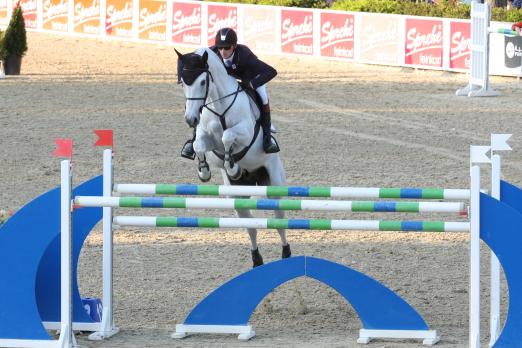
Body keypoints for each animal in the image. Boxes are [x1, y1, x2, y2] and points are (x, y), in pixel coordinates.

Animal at [174, 47, 288, 270]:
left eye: (203, 82)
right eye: (183, 82)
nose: (191, 119)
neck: (219, 106)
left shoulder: (244, 133)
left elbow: (228, 137)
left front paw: (233, 167)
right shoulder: (207, 141)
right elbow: (200, 145)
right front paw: (204, 170)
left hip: (274, 185)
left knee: (279, 221)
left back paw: (286, 253)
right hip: (237, 197)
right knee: (250, 227)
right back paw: (256, 260)